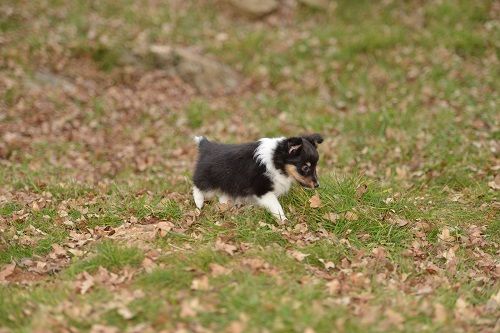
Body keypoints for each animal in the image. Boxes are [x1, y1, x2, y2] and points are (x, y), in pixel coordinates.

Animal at [191, 132, 324, 220]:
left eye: (315, 166)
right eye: (305, 167)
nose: (317, 185)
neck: (275, 159)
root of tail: (205, 146)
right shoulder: (263, 190)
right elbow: (276, 205)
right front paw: (283, 220)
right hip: (207, 180)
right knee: (197, 186)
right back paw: (199, 203)